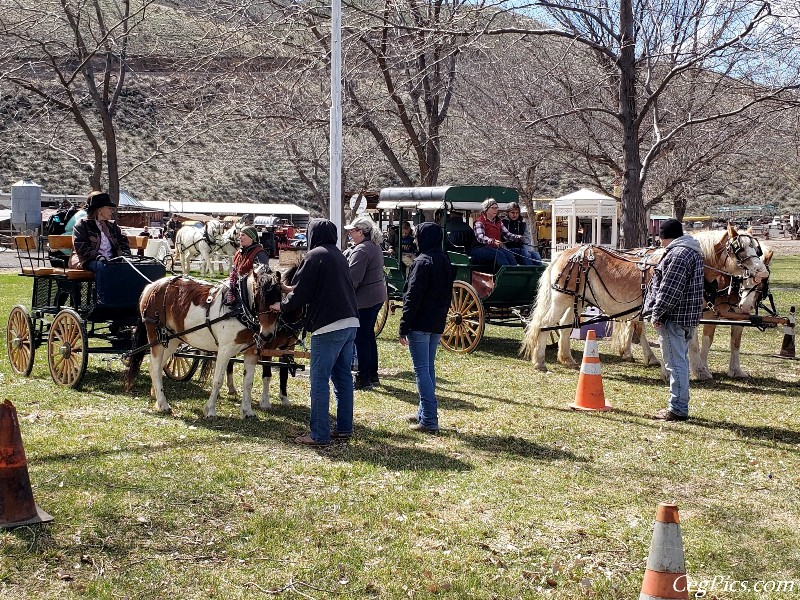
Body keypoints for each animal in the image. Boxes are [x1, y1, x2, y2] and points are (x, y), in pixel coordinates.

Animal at [123, 264, 286, 420]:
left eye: (279, 296)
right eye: (258, 295)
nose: (267, 334)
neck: (239, 306)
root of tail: (151, 287)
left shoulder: (251, 352)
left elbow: (248, 383)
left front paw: (247, 411)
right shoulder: (225, 351)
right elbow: (218, 380)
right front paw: (210, 411)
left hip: (171, 339)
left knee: (156, 367)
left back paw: (157, 397)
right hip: (156, 337)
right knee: (156, 368)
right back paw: (163, 404)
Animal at [520, 225, 772, 370]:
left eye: (756, 248)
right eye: (739, 249)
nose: (762, 272)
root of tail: (565, 253)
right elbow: (689, 341)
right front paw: (697, 370)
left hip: (578, 298)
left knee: (563, 325)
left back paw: (567, 358)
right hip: (562, 298)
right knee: (546, 324)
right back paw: (540, 361)